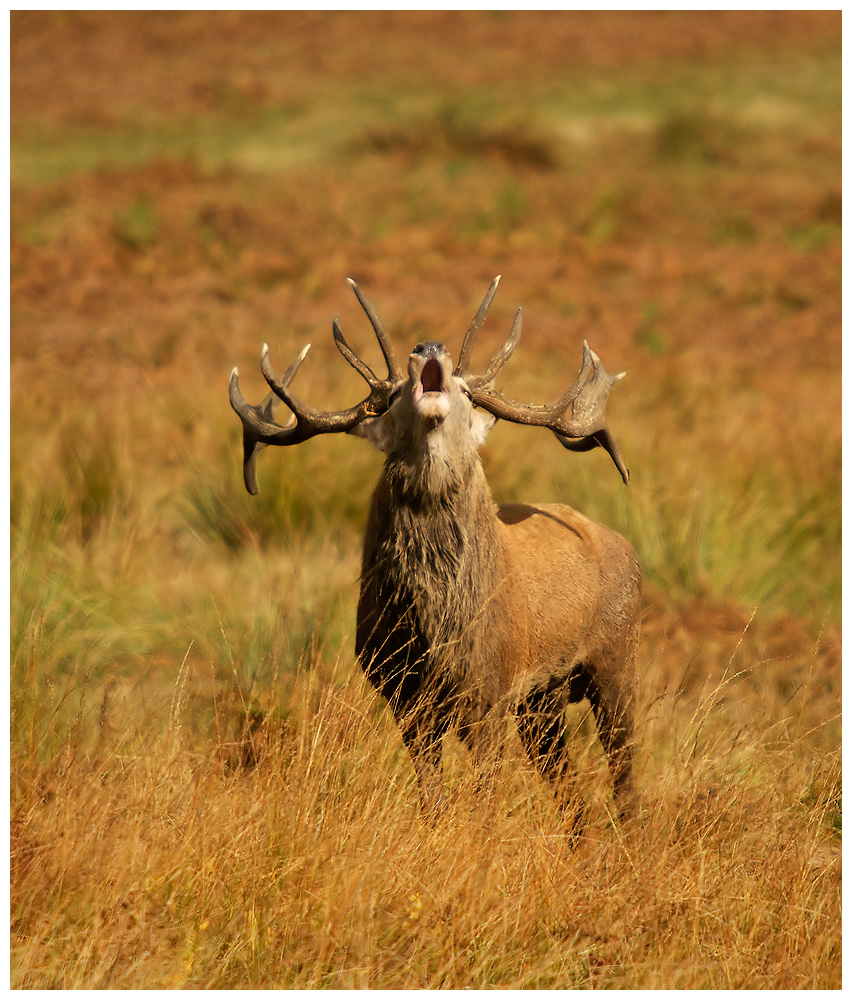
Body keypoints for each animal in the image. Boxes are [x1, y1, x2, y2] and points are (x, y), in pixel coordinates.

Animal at [229, 277, 641, 832]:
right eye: (392, 397)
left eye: (467, 391)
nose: (428, 346)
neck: (437, 627)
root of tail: (627, 548)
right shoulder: (403, 696)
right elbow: (431, 797)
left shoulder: (489, 691)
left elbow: (485, 797)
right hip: (544, 700)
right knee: (571, 788)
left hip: (617, 655)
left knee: (625, 774)